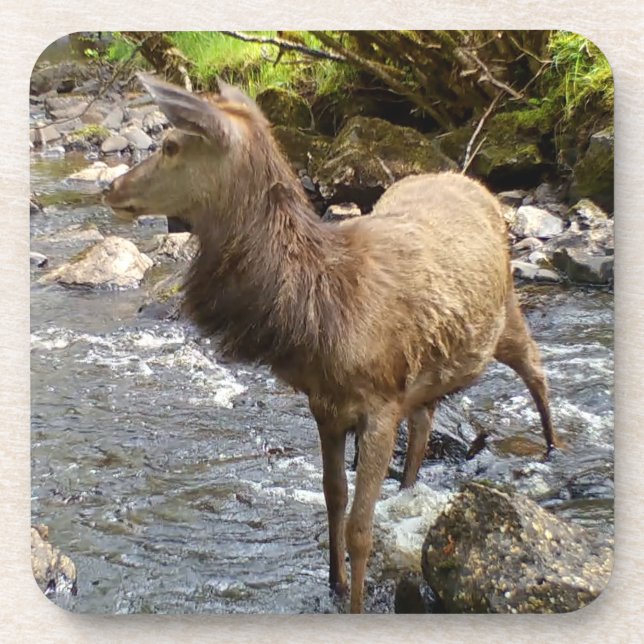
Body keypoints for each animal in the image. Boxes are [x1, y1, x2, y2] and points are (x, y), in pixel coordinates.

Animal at [105, 73, 557, 613]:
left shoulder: (380, 404)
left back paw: (552, 450)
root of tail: (474, 183)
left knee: (536, 369)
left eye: (171, 145)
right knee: (425, 421)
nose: (111, 188)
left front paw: (356, 600)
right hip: (429, 370)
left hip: (506, 312)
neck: (321, 316)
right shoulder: (325, 404)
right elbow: (332, 497)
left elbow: (361, 526)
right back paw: (412, 483)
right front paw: (334, 582)